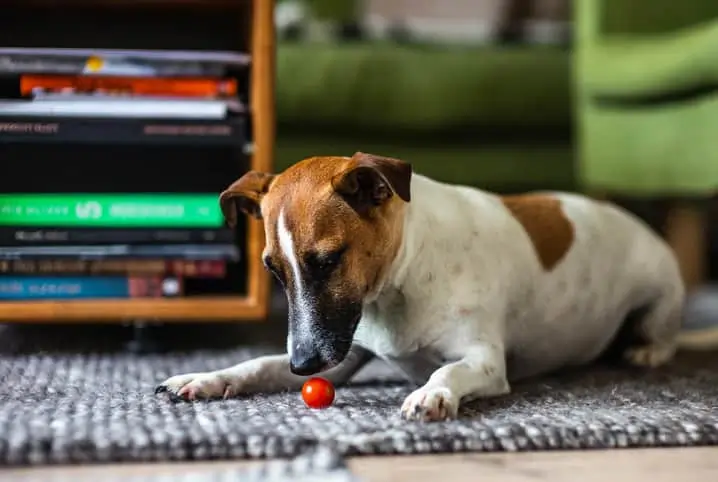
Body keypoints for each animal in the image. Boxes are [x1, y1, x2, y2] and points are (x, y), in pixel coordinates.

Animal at [156, 153, 688, 420]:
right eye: (273, 270)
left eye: (328, 260)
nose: (303, 365)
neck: (402, 279)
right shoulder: (342, 354)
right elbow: (255, 365)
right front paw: (203, 378)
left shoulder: (484, 361)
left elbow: (447, 370)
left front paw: (433, 395)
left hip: (660, 296)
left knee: (663, 332)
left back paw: (648, 350)